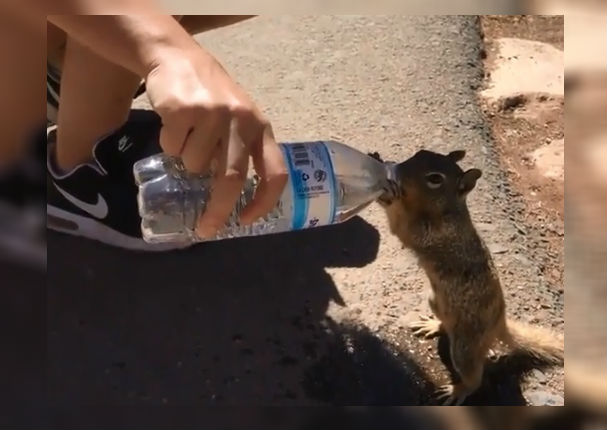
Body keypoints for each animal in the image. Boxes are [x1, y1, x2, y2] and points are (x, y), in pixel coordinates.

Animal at [370, 149, 564, 404]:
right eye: (420, 153)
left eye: (435, 179)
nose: (398, 171)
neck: (447, 210)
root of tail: (499, 324)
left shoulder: (431, 233)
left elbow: (402, 225)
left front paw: (388, 193)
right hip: (436, 302)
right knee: (445, 324)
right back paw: (433, 325)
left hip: (465, 347)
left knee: (474, 378)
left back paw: (457, 390)